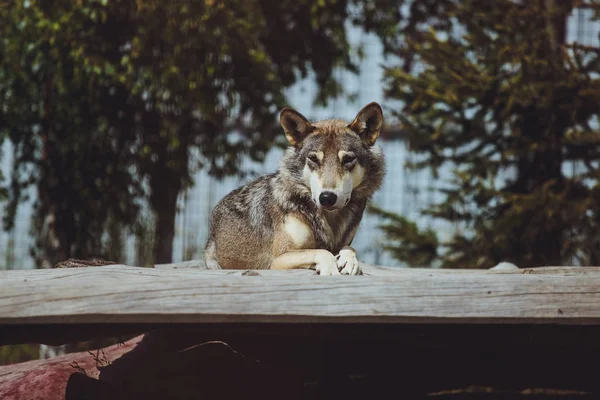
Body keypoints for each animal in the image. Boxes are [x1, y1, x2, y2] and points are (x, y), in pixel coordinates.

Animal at [204, 102, 386, 276]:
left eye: (348, 159)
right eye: (313, 159)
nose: (327, 197)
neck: (329, 220)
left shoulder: (343, 244)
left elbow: (349, 249)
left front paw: (349, 262)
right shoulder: (278, 260)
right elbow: (321, 251)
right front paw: (330, 269)